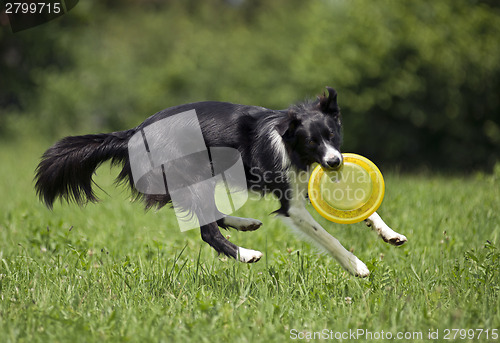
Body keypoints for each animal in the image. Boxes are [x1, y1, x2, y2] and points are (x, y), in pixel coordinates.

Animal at [35, 87, 406, 278]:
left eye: (332, 135)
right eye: (312, 141)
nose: (335, 162)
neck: (291, 143)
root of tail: (134, 132)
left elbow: (365, 210)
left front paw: (390, 234)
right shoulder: (292, 205)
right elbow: (327, 236)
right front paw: (356, 265)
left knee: (208, 216)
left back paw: (245, 224)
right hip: (194, 175)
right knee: (206, 230)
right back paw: (246, 254)